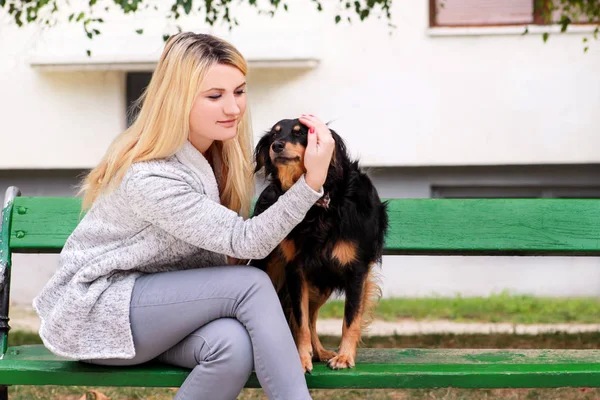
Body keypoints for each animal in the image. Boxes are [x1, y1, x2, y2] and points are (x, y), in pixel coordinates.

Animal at [250, 117, 386, 374]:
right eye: (274, 135)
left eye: (300, 133)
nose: (277, 146)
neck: (317, 206)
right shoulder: (296, 270)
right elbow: (301, 321)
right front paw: (301, 359)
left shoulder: (357, 269)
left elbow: (350, 318)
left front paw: (344, 357)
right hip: (274, 270)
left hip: (322, 282)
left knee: (312, 316)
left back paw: (321, 352)